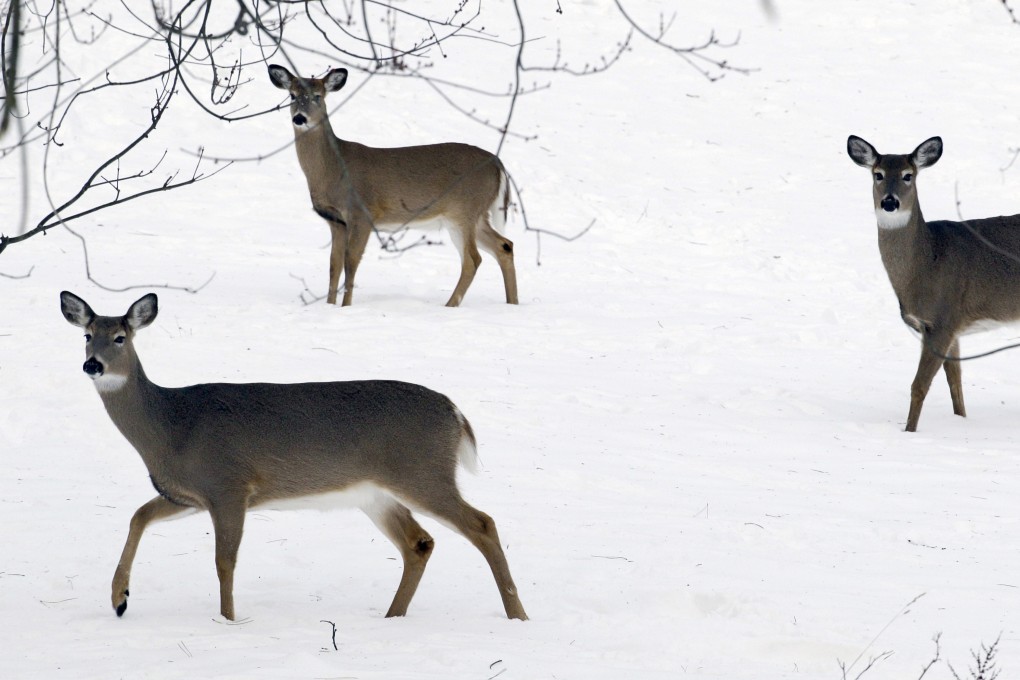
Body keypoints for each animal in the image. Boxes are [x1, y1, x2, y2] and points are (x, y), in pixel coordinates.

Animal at [59, 291, 528, 621]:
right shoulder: (190, 494)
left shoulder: (229, 484)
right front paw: (119, 598)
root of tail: (456, 413)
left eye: (121, 337)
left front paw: (228, 621)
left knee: (482, 523)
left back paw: (517, 615)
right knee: (419, 542)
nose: (93, 365)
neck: (172, 426)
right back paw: (392, 616)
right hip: (376, 493)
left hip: (422, 472)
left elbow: (224, 561)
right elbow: (138, 515)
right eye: (87, 335)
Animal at [268, 64, 519, 307]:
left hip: (463, 211)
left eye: (318, 96)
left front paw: (345, 307)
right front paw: (329, 306)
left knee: (472, 259)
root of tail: (498, 164)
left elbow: (351, 262)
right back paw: (512, 303)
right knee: (504, 245)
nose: (300, 118)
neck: (334, 169)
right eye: (292, 95)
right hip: (475, 214)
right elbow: (334, 265)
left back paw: (449, 306)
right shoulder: (336, 221)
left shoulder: (362, 213)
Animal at [847, 135, 1020, 432]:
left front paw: (909, 432)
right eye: (877, 174)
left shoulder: (942, 320)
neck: (927, 265)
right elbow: (955, 382)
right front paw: (961, 420)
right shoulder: (950, 327)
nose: (889, 202)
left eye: (908, 175)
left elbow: (919, 386)